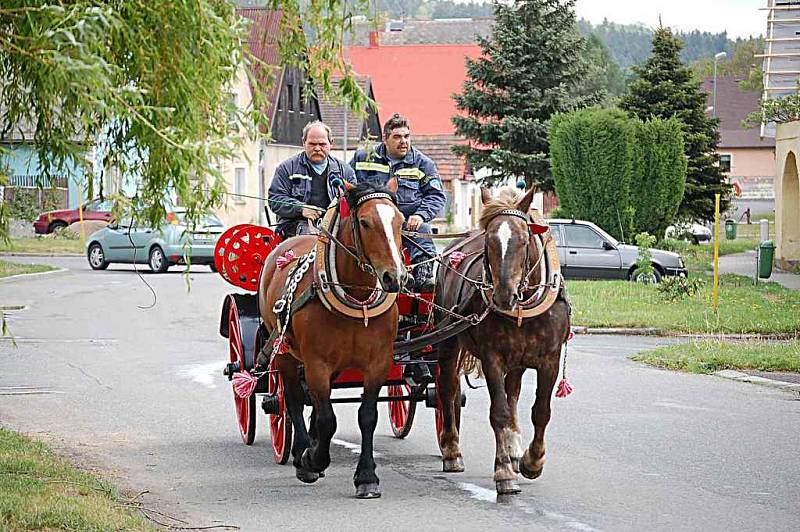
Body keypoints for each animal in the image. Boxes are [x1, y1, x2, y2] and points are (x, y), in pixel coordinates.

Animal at [256, 183, 406, 498]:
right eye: (365, 222)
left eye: (399, 221)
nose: (395, 277)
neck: (356, 297)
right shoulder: (317, 364)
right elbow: (327, 419)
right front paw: (312, 459)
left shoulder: (377, 363)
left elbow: (367, 416)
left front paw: (367, 477)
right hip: (284, 352)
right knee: (294, 400)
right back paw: (302, 452)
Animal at [434, 186, 572, 494]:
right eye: (489, 240)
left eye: (523, 240)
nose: (503, 296)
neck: (523, 309)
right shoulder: (492, 358)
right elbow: (499, 412)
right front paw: (504, 472)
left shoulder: (550, 359)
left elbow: (540, 411)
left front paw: (532, 461)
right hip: (447, 342)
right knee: (447, 389)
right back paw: (451, 450)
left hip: (518, 361)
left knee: (513, 394)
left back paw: (514, 448)